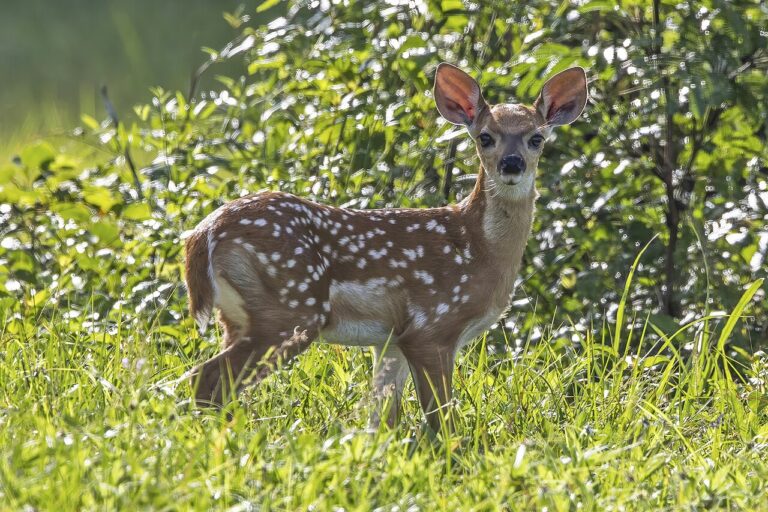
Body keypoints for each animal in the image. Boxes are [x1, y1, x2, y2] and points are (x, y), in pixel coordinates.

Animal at [183, 63, 587, 431]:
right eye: (485, 137)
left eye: (537, 138)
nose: (512, 164)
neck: (480, 249)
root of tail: (204, 233)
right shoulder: (432, 326)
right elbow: (442, 420)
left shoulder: (391, 338)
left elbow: (381, 420)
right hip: (289, 308)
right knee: (206, 378)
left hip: (240, 316)